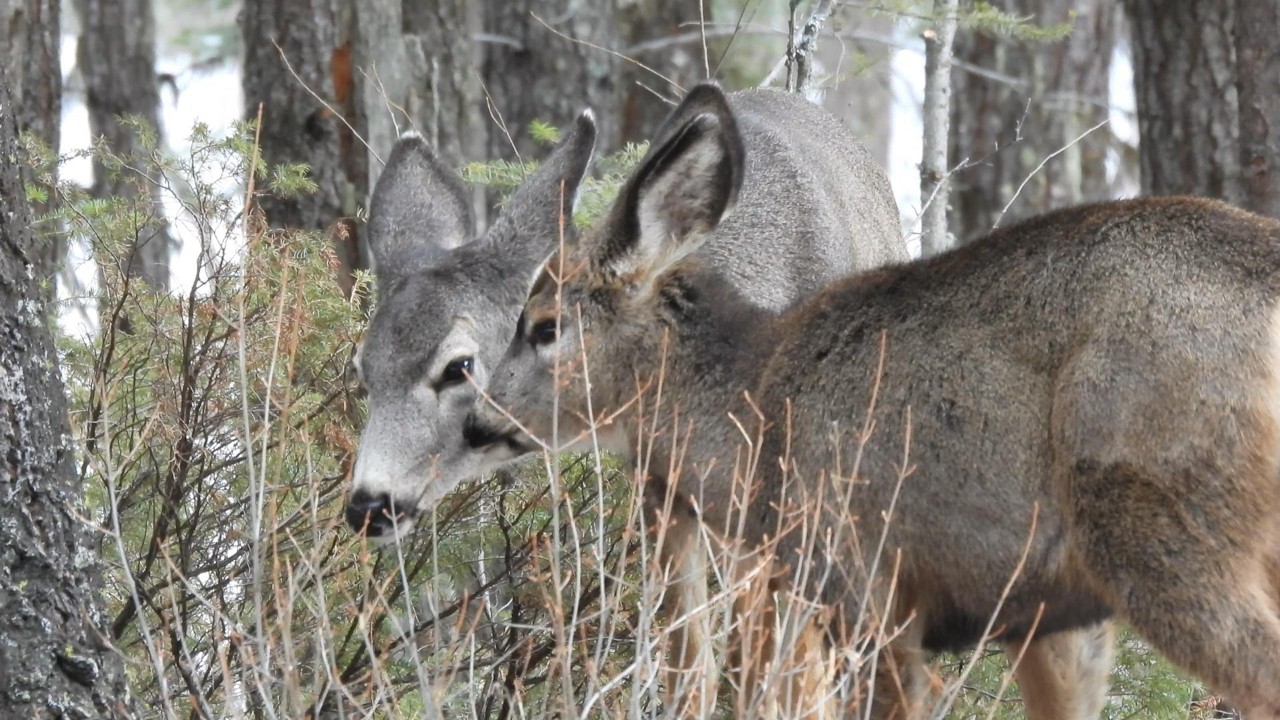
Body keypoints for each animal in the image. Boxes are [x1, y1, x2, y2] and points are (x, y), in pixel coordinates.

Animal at [345, 83, 912, 712]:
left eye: (458, 366)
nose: (369, 504)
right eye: (363, 370)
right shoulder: (661, 492)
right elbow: (692, 665)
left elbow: (770, 671)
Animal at [464, 85, 1280, 718]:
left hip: (1160, 517)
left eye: (543, 326)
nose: (475, 420)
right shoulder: (1049, 616)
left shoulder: (864, 582)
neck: (755, 415)